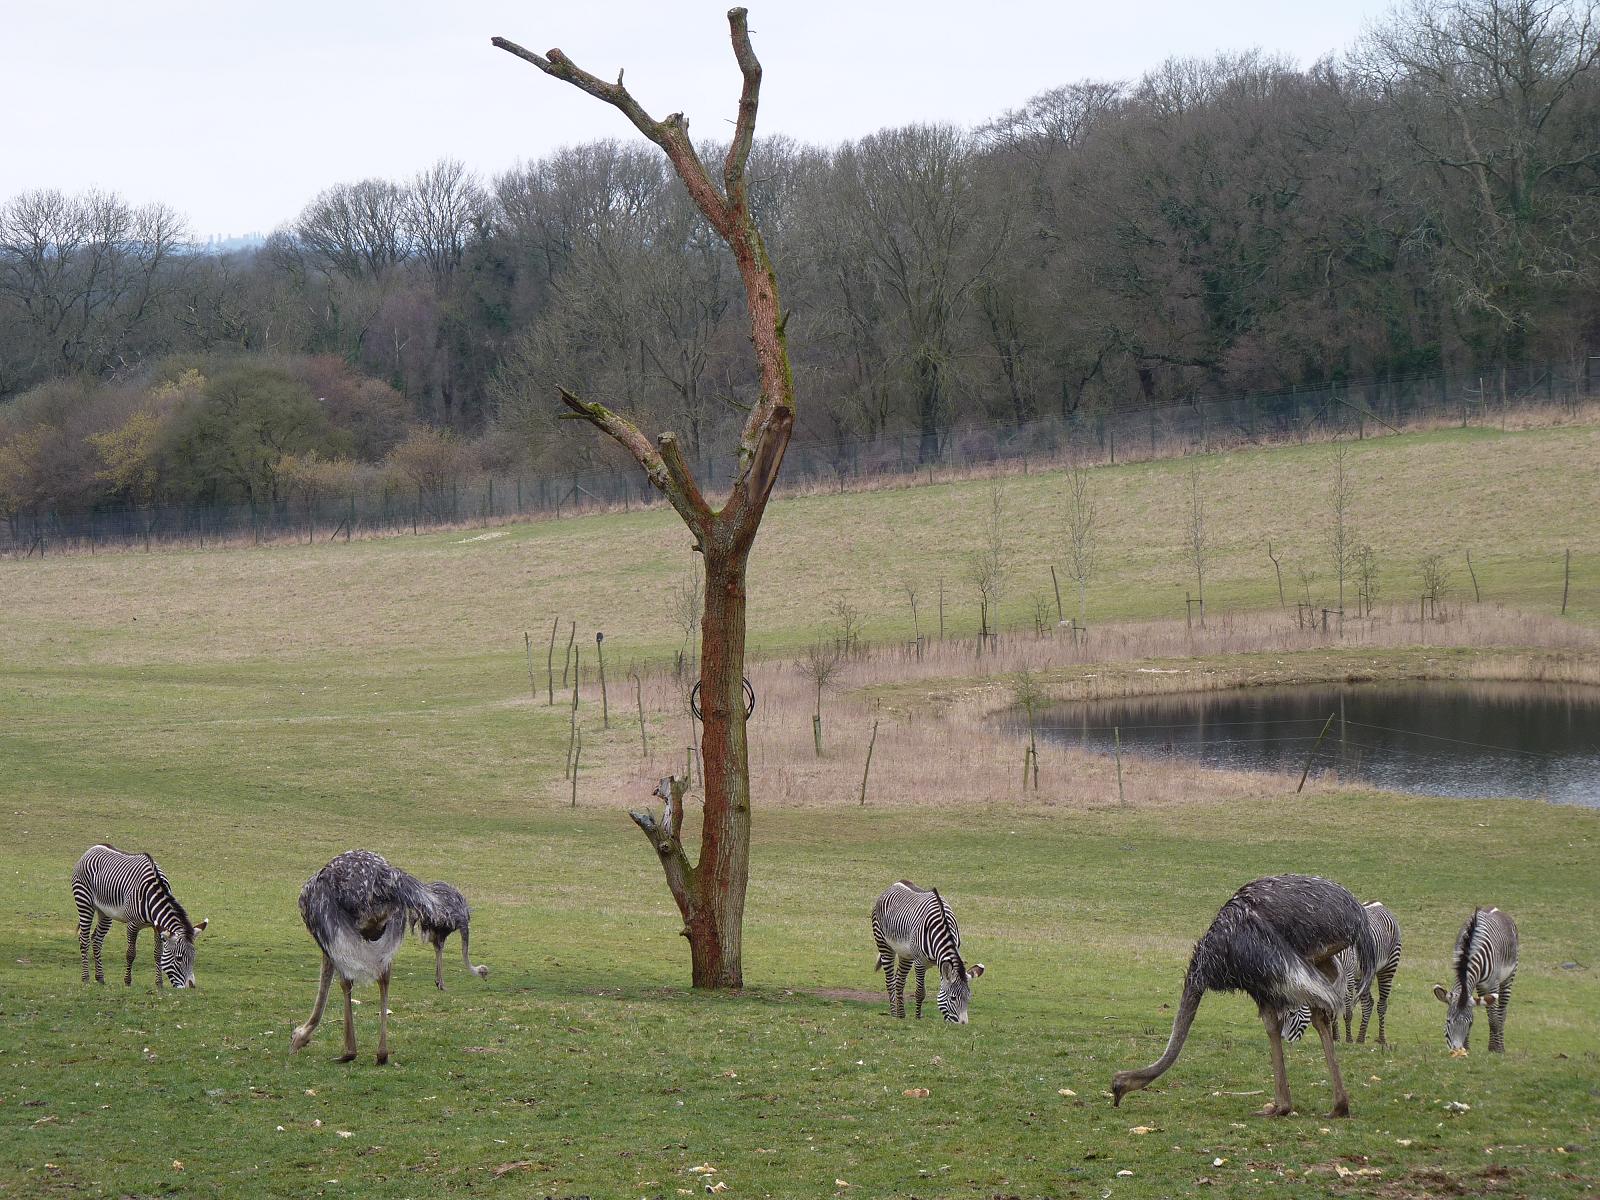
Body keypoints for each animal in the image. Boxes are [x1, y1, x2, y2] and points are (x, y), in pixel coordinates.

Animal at [71, 844, 208, 988]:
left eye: (194, 957)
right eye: (179, 958)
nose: (191, 987)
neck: (152, 897)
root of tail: (92, 848)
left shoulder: (156, 927)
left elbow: (158, 954)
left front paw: (159, 983)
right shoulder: (132, 925)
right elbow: (130, 954)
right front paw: (127, 981)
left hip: (105, 912)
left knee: (97, 940)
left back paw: (100, 977)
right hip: (84, 901)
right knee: (84, 939)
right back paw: (85, 978)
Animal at [870, 881, 985, 1024]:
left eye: (969, 998)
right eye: (952, 998)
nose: (963, 1025)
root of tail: (897, 883)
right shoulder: (920, 962)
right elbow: (920, 992)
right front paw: (918, 1017)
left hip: (906, 954)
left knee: (899, 981)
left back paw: (901, 1015)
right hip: (884, 944)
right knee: (890, 981)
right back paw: (893, 1013)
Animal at [1281, 900, 1402, 1046]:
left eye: (1292, 1013)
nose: (1283, 1039)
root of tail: (1378, 904)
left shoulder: (1348, 977)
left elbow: (1347, 1010)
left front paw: (1348, 1039)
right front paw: (1335, 1038)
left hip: (1389, 966)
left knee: (1382, 1004)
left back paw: (1381, 1039)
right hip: (1362, 975)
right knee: (1368, 1003)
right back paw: (1360, 1039)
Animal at [1433, 906, 1519, 1055]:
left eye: (1470, 1023)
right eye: (1448, 1021)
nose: (1457, 1049)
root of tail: (1495, 908)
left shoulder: (1492, 985)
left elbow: (1493, 1019)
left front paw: (1495, 1049)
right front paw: (1467, 1047)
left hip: (1509, 977)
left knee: (1501, 1012)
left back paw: (1500, 1045)